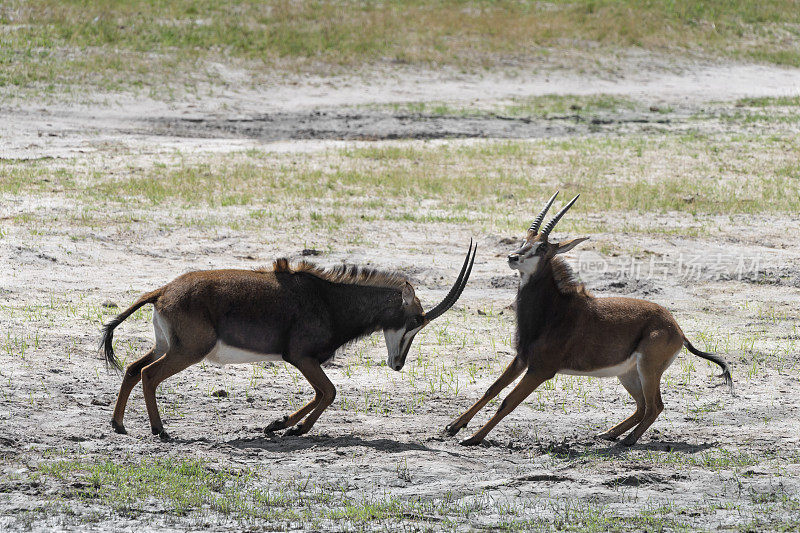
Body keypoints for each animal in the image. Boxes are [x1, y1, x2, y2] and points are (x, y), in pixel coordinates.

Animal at [100, 242, 476, 440]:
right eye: (414, 321)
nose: (397, 364)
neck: (330, 298)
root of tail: (163, 290)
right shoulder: (300, 357)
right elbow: (329, 392)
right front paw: (287, 427)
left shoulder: (303, 360)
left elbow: (323, 393)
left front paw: (280, 426)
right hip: (188, 351)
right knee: (148, 374)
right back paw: (159, 430)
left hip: (167, 345)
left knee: (133, 369)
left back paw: (118, 425)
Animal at [446, 194, 736, 444]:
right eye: (524, 239)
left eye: (542, 246)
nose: (513, 256)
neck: (554, 311)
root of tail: (676, 328)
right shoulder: (522, 359)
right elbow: (492, 389)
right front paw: (453, 426)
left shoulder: (541, 369)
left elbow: (508, 401)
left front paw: (472, 438)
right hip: (629, 374)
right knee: (642, 407)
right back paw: (607, 434)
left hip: (648, 369)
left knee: (655, 406)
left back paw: (627, 441)